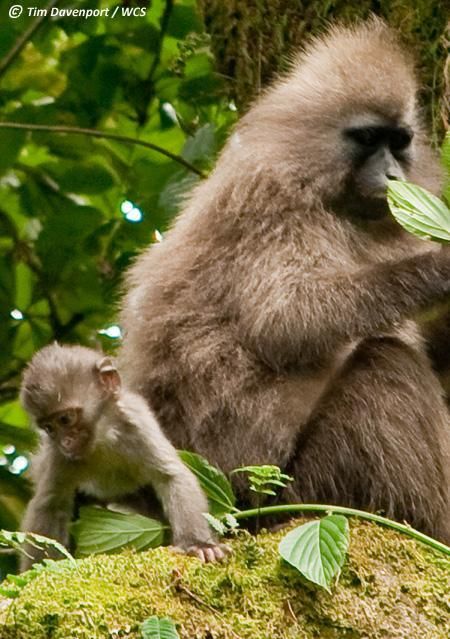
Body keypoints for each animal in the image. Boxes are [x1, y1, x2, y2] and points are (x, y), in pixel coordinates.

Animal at [18, 344, 227, 568]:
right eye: (49, 428)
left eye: (65, 419)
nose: (64, 442)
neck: (102, 438)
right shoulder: (59, 457)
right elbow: (50, 504)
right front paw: (38, 570)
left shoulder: (136, 423)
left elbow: (171, 476)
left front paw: (198, 544)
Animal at [118, 18, 450, 540]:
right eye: (367, 138)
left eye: (398, 142)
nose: (394, 176)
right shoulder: (273, 199)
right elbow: (283, 322)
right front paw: (441, 269)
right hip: (298, 492)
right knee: (387, 361)